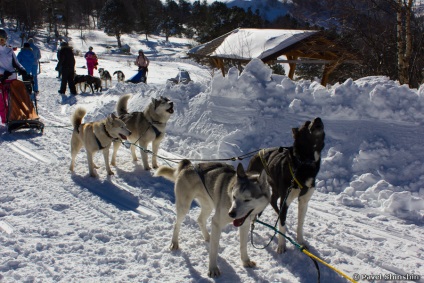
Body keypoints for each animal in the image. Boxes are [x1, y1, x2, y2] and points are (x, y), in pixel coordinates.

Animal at [248, 116, 324, 254]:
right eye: (306, 124)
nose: (318, 119)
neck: (304, 163)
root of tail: (257, 153)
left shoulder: (303, 201)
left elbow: (300, 224)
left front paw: (301, 241)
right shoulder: (286, 199)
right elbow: (282, 226)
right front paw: (281, 245)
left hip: (277, 190)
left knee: (273, 202)